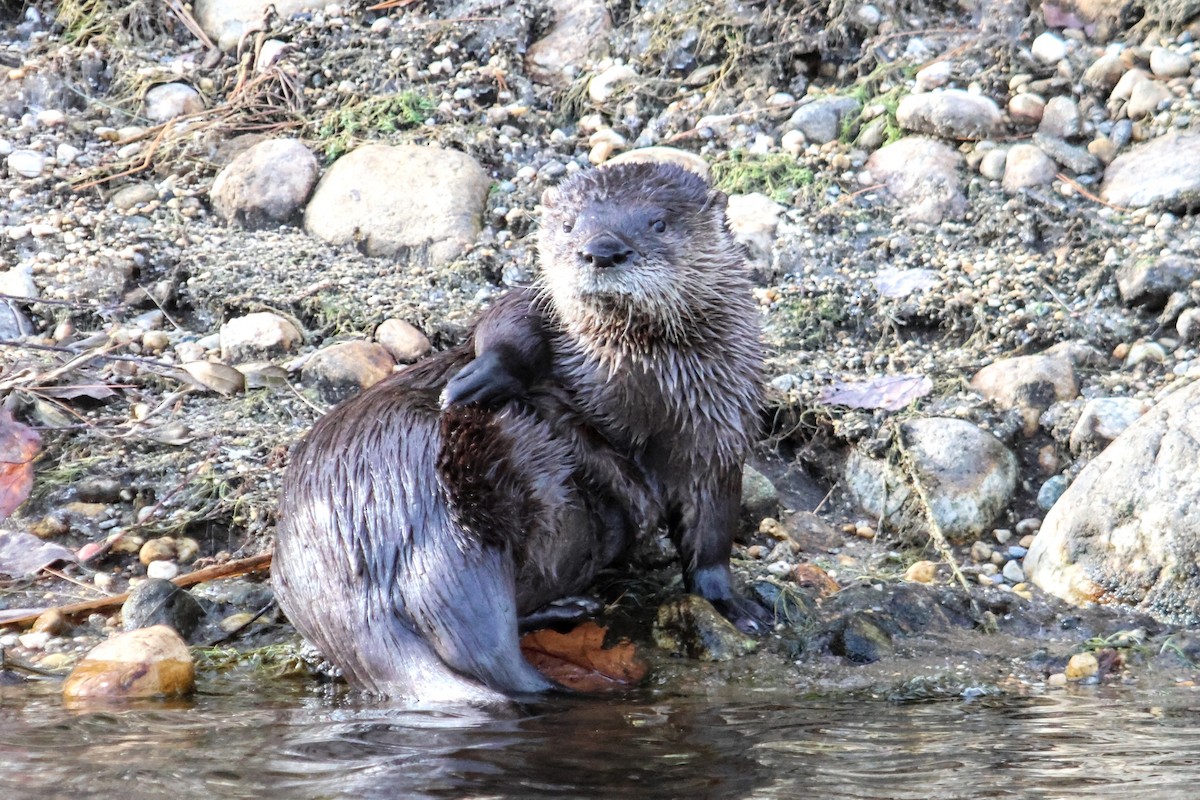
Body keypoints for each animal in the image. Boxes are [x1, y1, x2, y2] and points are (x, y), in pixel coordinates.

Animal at [272, 162, 766, 704]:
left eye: (658, 223)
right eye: (570, 226)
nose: (601, 249)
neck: (640, 387)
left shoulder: (718, 428)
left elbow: (712, 532)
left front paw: (732, 605)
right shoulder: (535, 311)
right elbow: (508, 316)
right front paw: (480, 377)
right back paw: (570, 606)